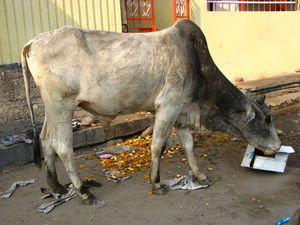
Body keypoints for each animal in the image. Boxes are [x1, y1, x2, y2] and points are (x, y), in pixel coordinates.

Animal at [21, 19, 282, 205]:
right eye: (267, 118)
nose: (278, 147)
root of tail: (33, 42)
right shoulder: (168, 106)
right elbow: (157, 146)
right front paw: (156, 184)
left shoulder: (181, 113)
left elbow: (188, 145)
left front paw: (199, 175)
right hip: (62, 105)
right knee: (62, 146)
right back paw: (83, 192)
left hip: (52, 108)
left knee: (46, 140)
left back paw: (56, 186)